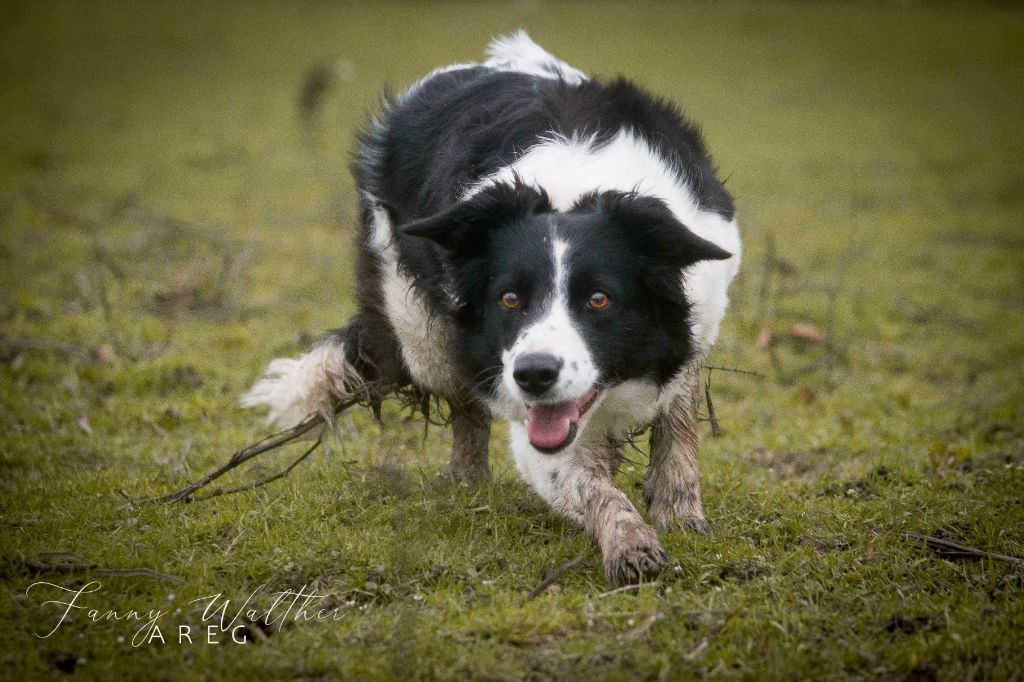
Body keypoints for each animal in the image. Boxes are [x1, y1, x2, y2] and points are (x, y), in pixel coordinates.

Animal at [243, 33, 741, 585]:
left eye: (599, 299)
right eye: (509, 299)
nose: (534, 374)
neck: (573, 189)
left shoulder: (697, 322)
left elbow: (678, 418)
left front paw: (678, 510)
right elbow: (582, 480)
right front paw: (630, 543)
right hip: (421, 330)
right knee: (461, 401)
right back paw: (469, 483)